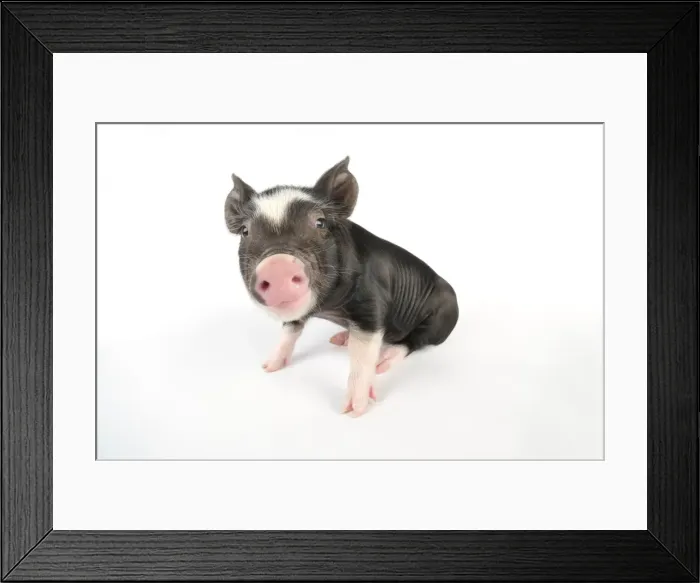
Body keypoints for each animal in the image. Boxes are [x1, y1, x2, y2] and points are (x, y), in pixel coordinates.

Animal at [224, 157, 458, 416]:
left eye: (320, 222)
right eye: (245, 231)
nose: (277, 266)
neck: (327, 307)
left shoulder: (372, 300)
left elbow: (363, 355)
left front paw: (354, 409)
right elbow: (289, 331)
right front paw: (268, 366)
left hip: (442, 318)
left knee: (414, 341)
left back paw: (383, 361)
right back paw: (340, 339)